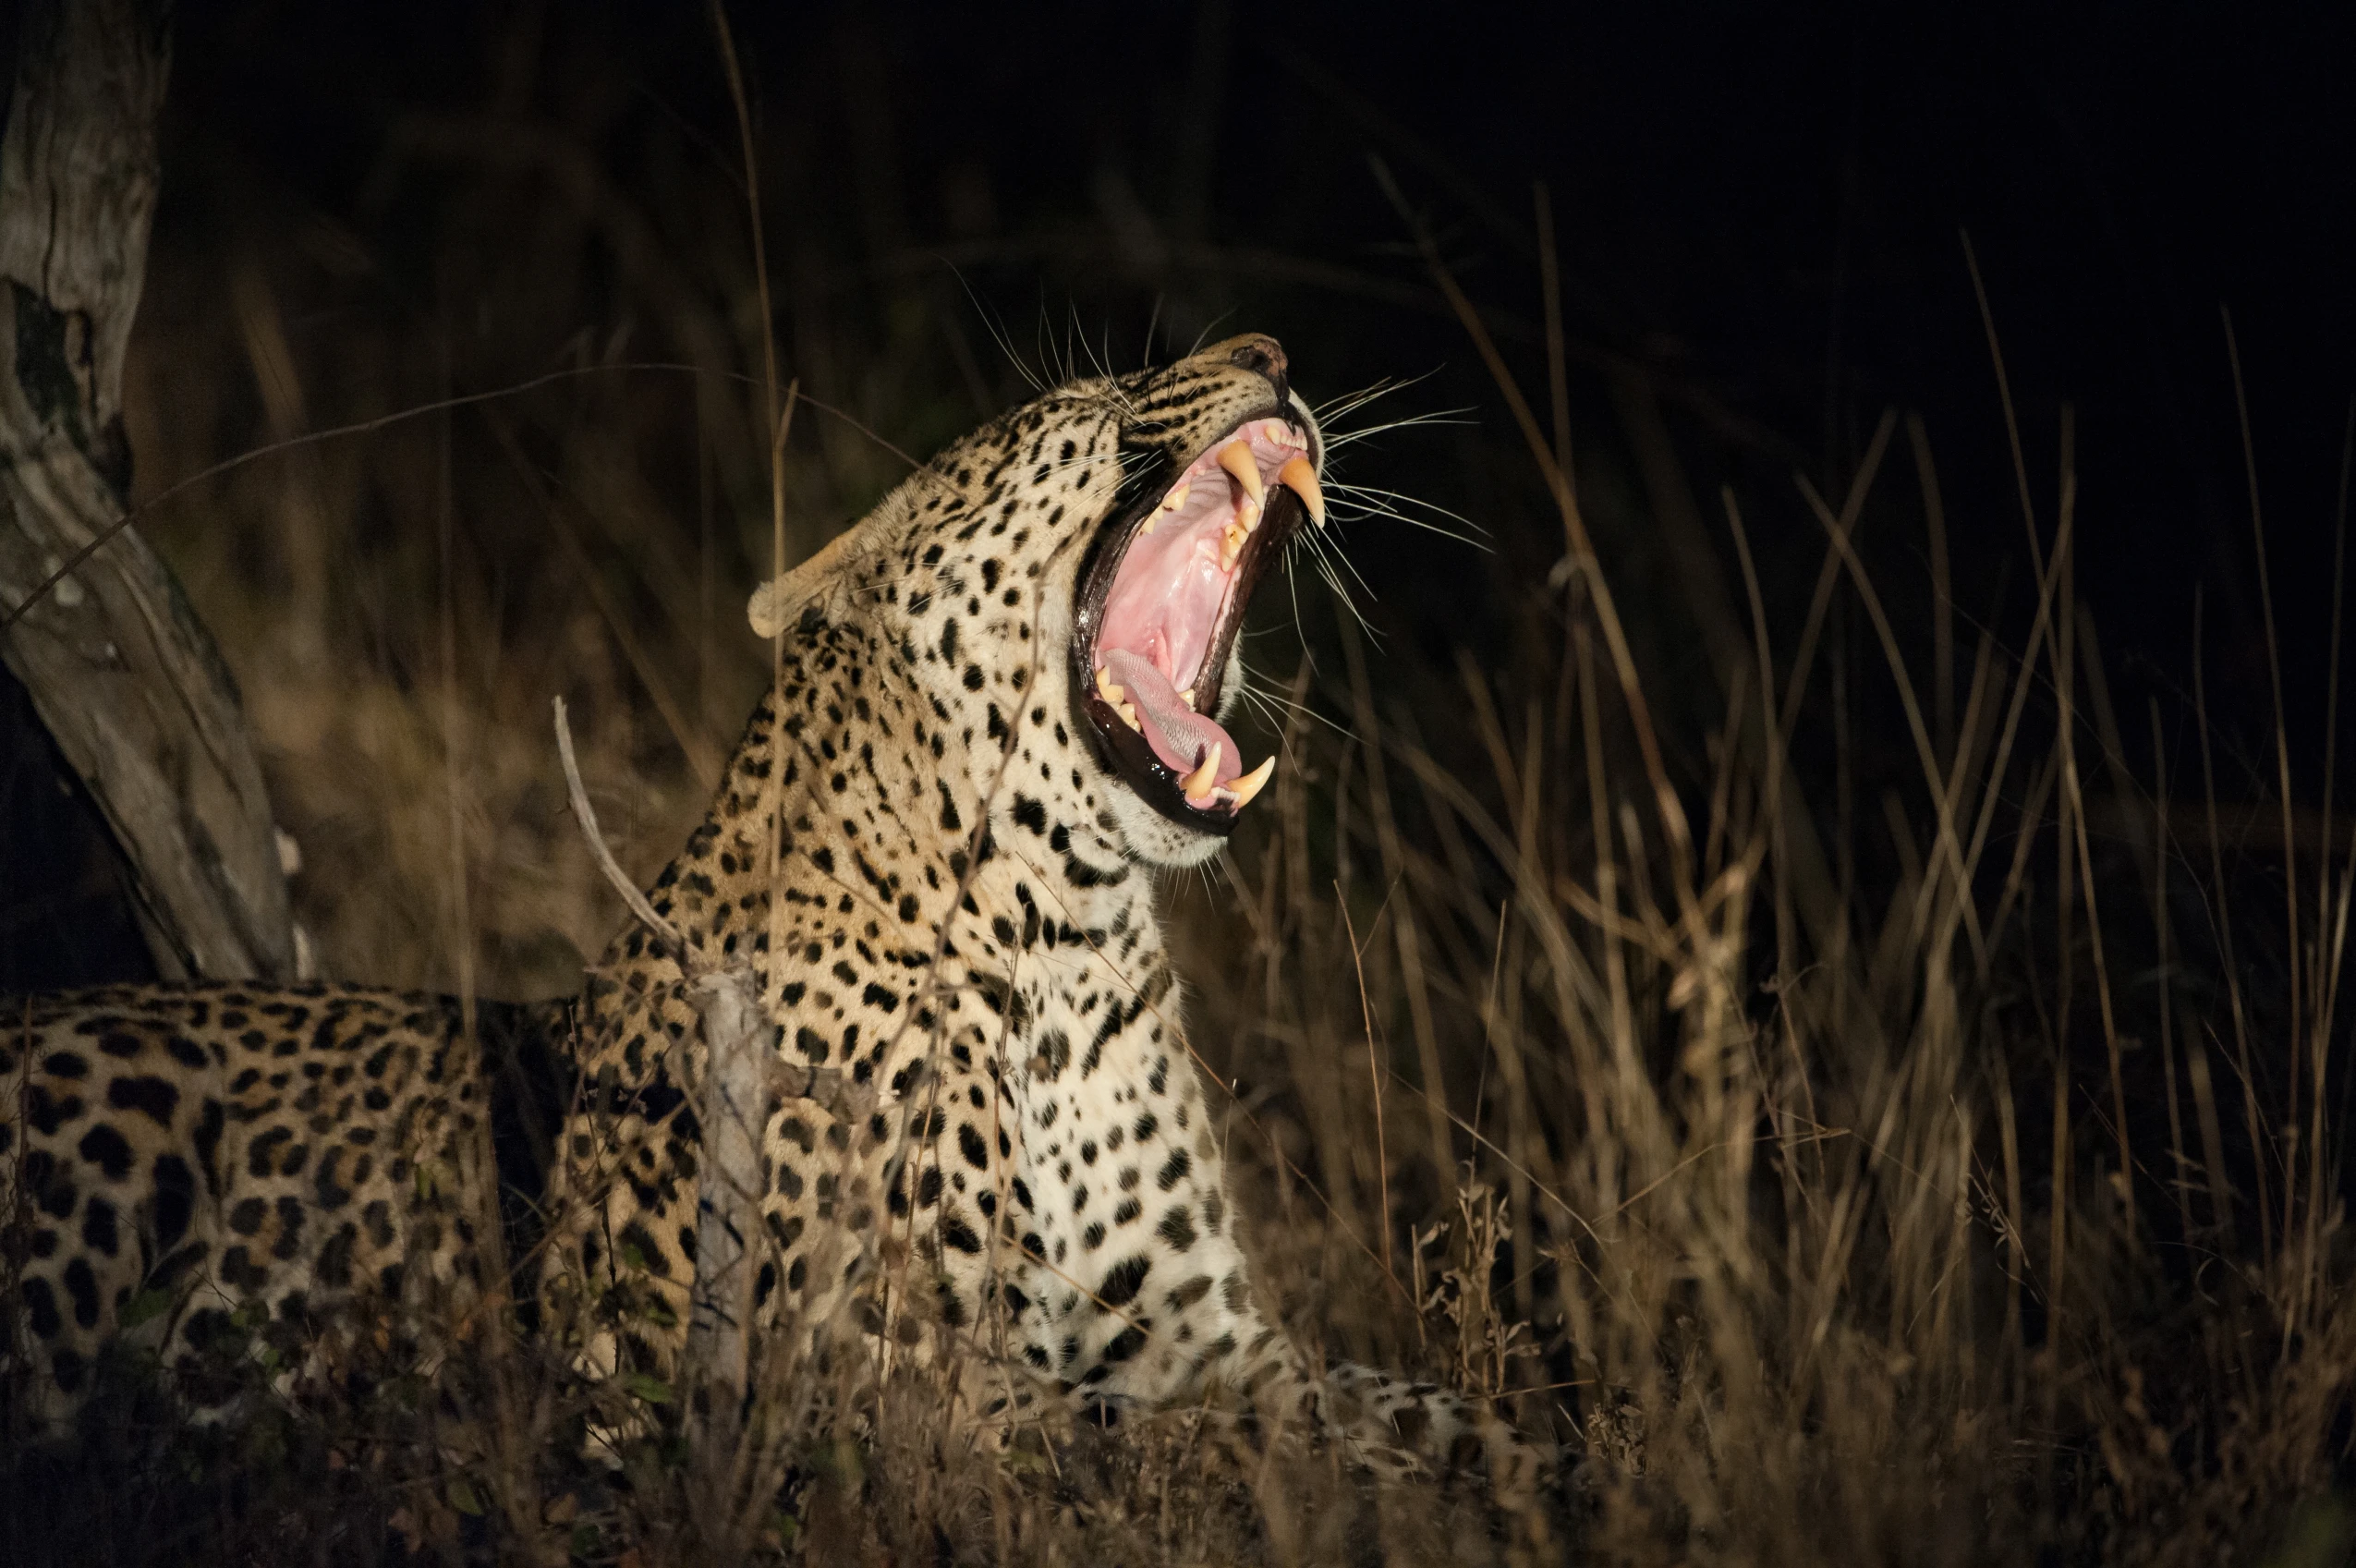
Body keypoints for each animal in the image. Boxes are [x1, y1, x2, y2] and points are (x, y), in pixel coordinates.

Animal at [4, 336, 1545, 1509]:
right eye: (1097, 393)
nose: (1269, 353)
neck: (1065, 942)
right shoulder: (880, 1367)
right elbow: (1187, 1449)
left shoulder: (1207, 1327)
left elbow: (1407, 1408)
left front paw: (1548, 1468)